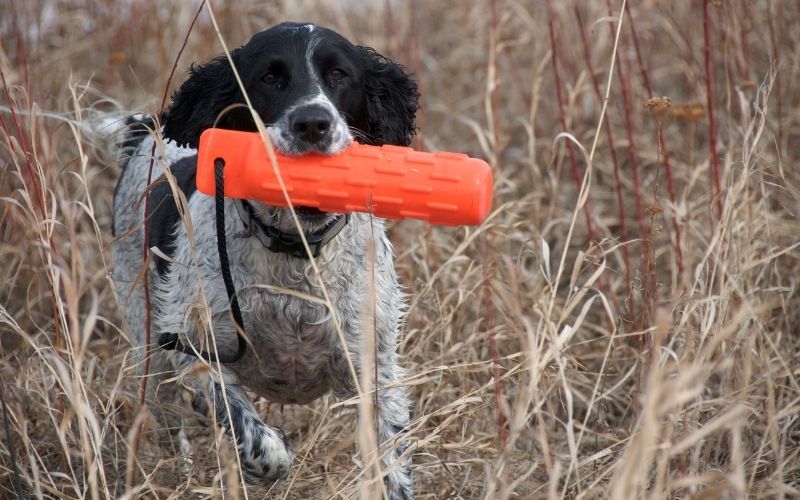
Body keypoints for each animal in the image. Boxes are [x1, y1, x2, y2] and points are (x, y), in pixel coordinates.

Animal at [113, 21, 422, 498]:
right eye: (269, 78)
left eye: (339, 75)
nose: (312, 122)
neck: (296, 247)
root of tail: (146, 131)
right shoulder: (192, 345)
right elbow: (248, 426)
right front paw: (265, 461)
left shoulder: (374, 367)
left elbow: (391, 458)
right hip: (147, 340)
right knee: (168, 416)